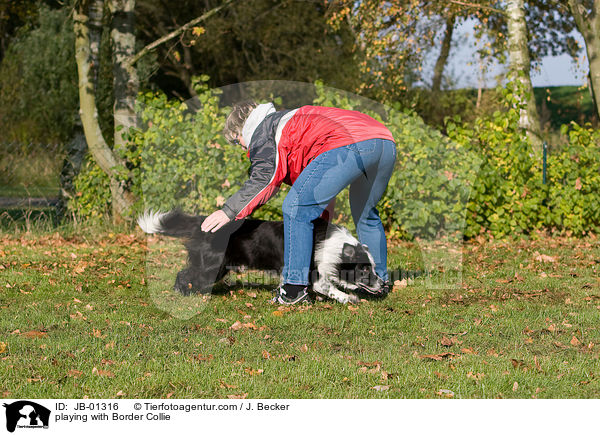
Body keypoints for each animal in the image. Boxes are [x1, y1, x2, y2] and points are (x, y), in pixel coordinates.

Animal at [137, 209, 384, 304]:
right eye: (364, 269)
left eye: (372, 267)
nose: (383, 284)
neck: (335, 247)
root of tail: (203, 224)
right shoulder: (312, 271)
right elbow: (327, 286)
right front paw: (348, 298)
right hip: (214, 265)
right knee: (186, 274)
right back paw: (184, 293)